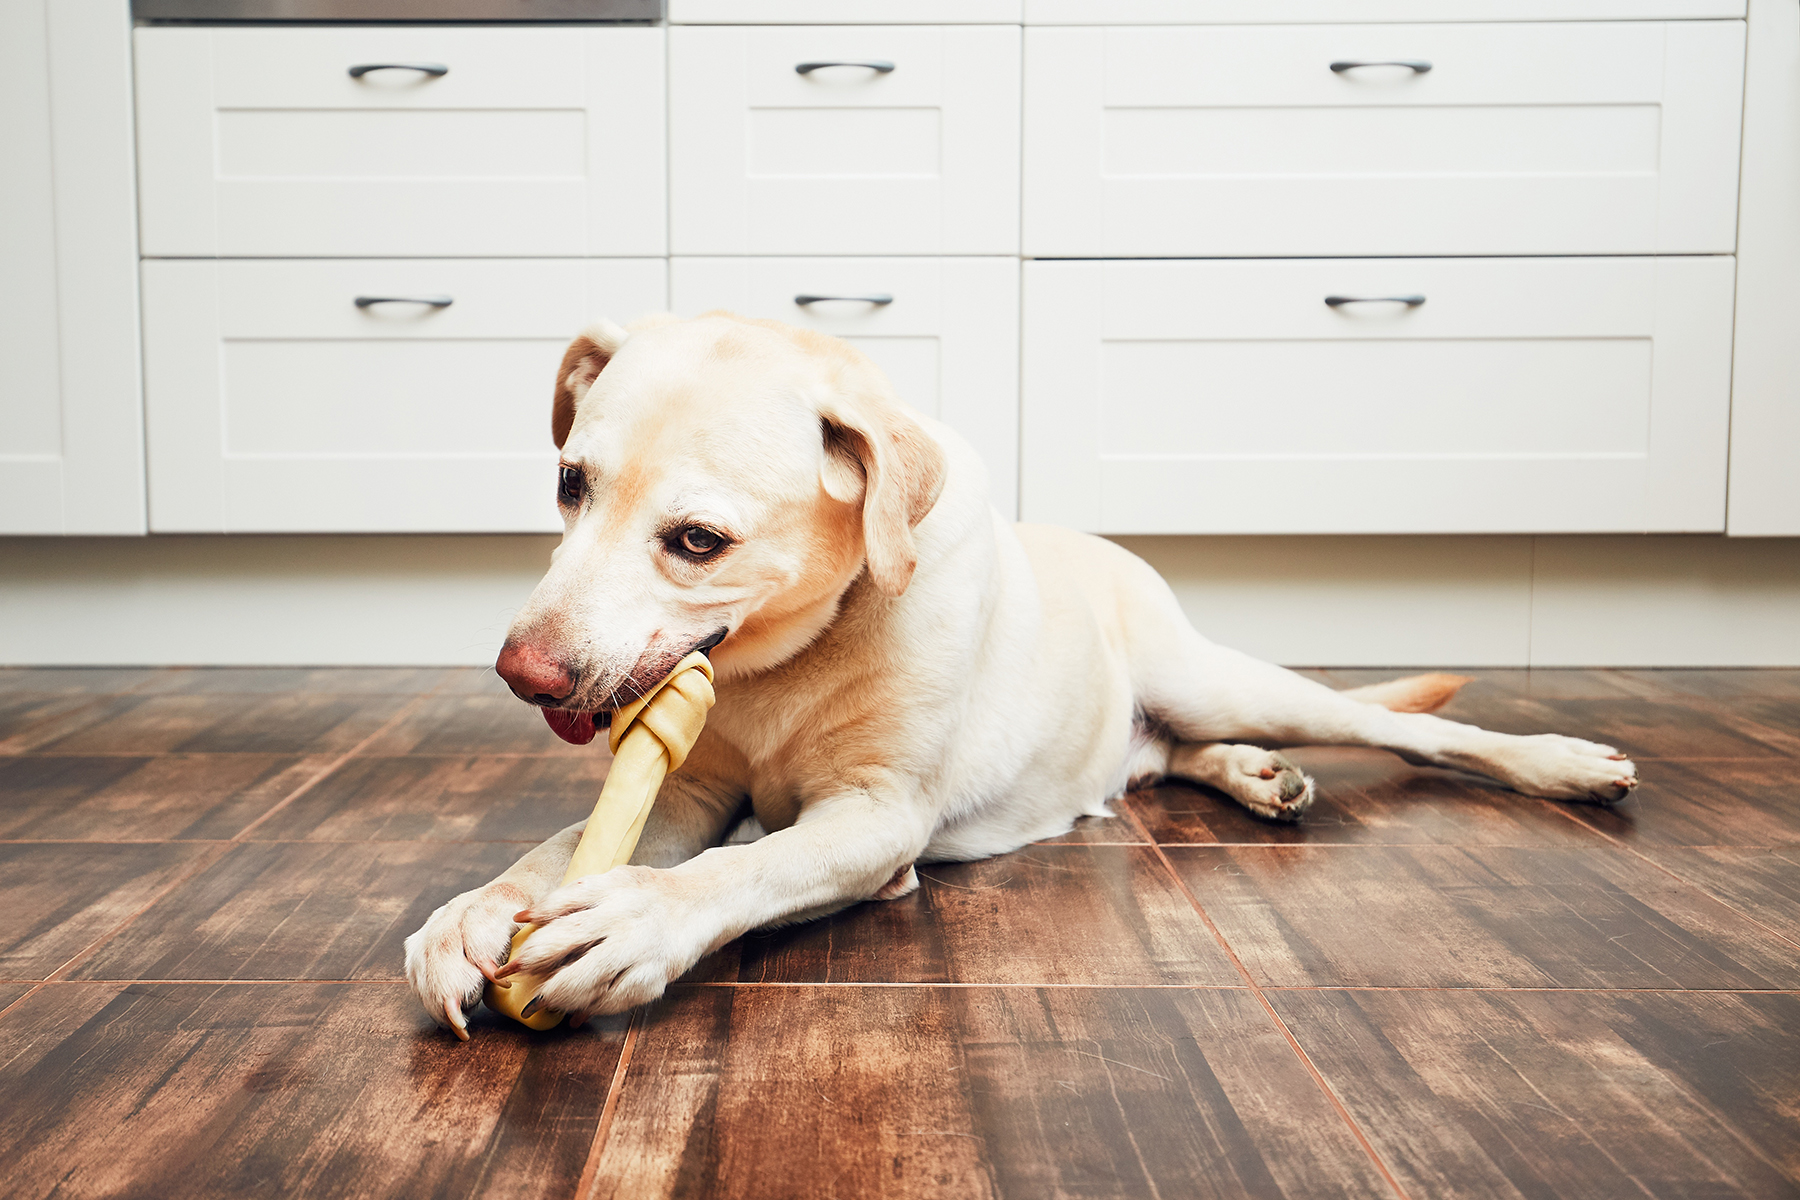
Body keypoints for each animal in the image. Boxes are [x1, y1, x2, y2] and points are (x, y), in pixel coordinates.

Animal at [401, 314, 1641, 1036]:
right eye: (570, 484)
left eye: (698, 541)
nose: (519, 673)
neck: (786, 659)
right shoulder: (688, 784)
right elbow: (565, 845)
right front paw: (478, 909)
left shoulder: (878, 819)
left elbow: (743, 868)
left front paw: (635, 921)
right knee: (1173, 756)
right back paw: (1254, 777)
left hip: (1220, 677)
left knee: (1409, 731)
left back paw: (1562, 763)